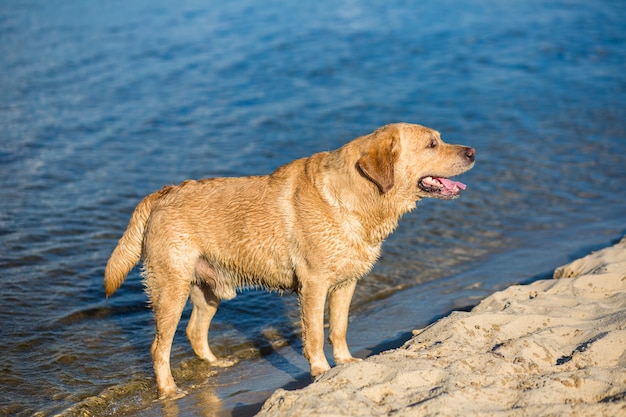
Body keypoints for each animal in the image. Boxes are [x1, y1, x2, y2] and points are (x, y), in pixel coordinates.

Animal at [103, 122, 472, 398]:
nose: (472, 151)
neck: (358, 196)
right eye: (432, 144)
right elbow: (315, 333)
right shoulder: (313, 284)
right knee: (159, 348)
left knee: (195, 331)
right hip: (171, 289)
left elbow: (339, 327)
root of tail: (162, 194)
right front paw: (321, 370)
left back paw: (216, 365)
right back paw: (169, 390)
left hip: (208, 288)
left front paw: (347, 362)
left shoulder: (346, 283)